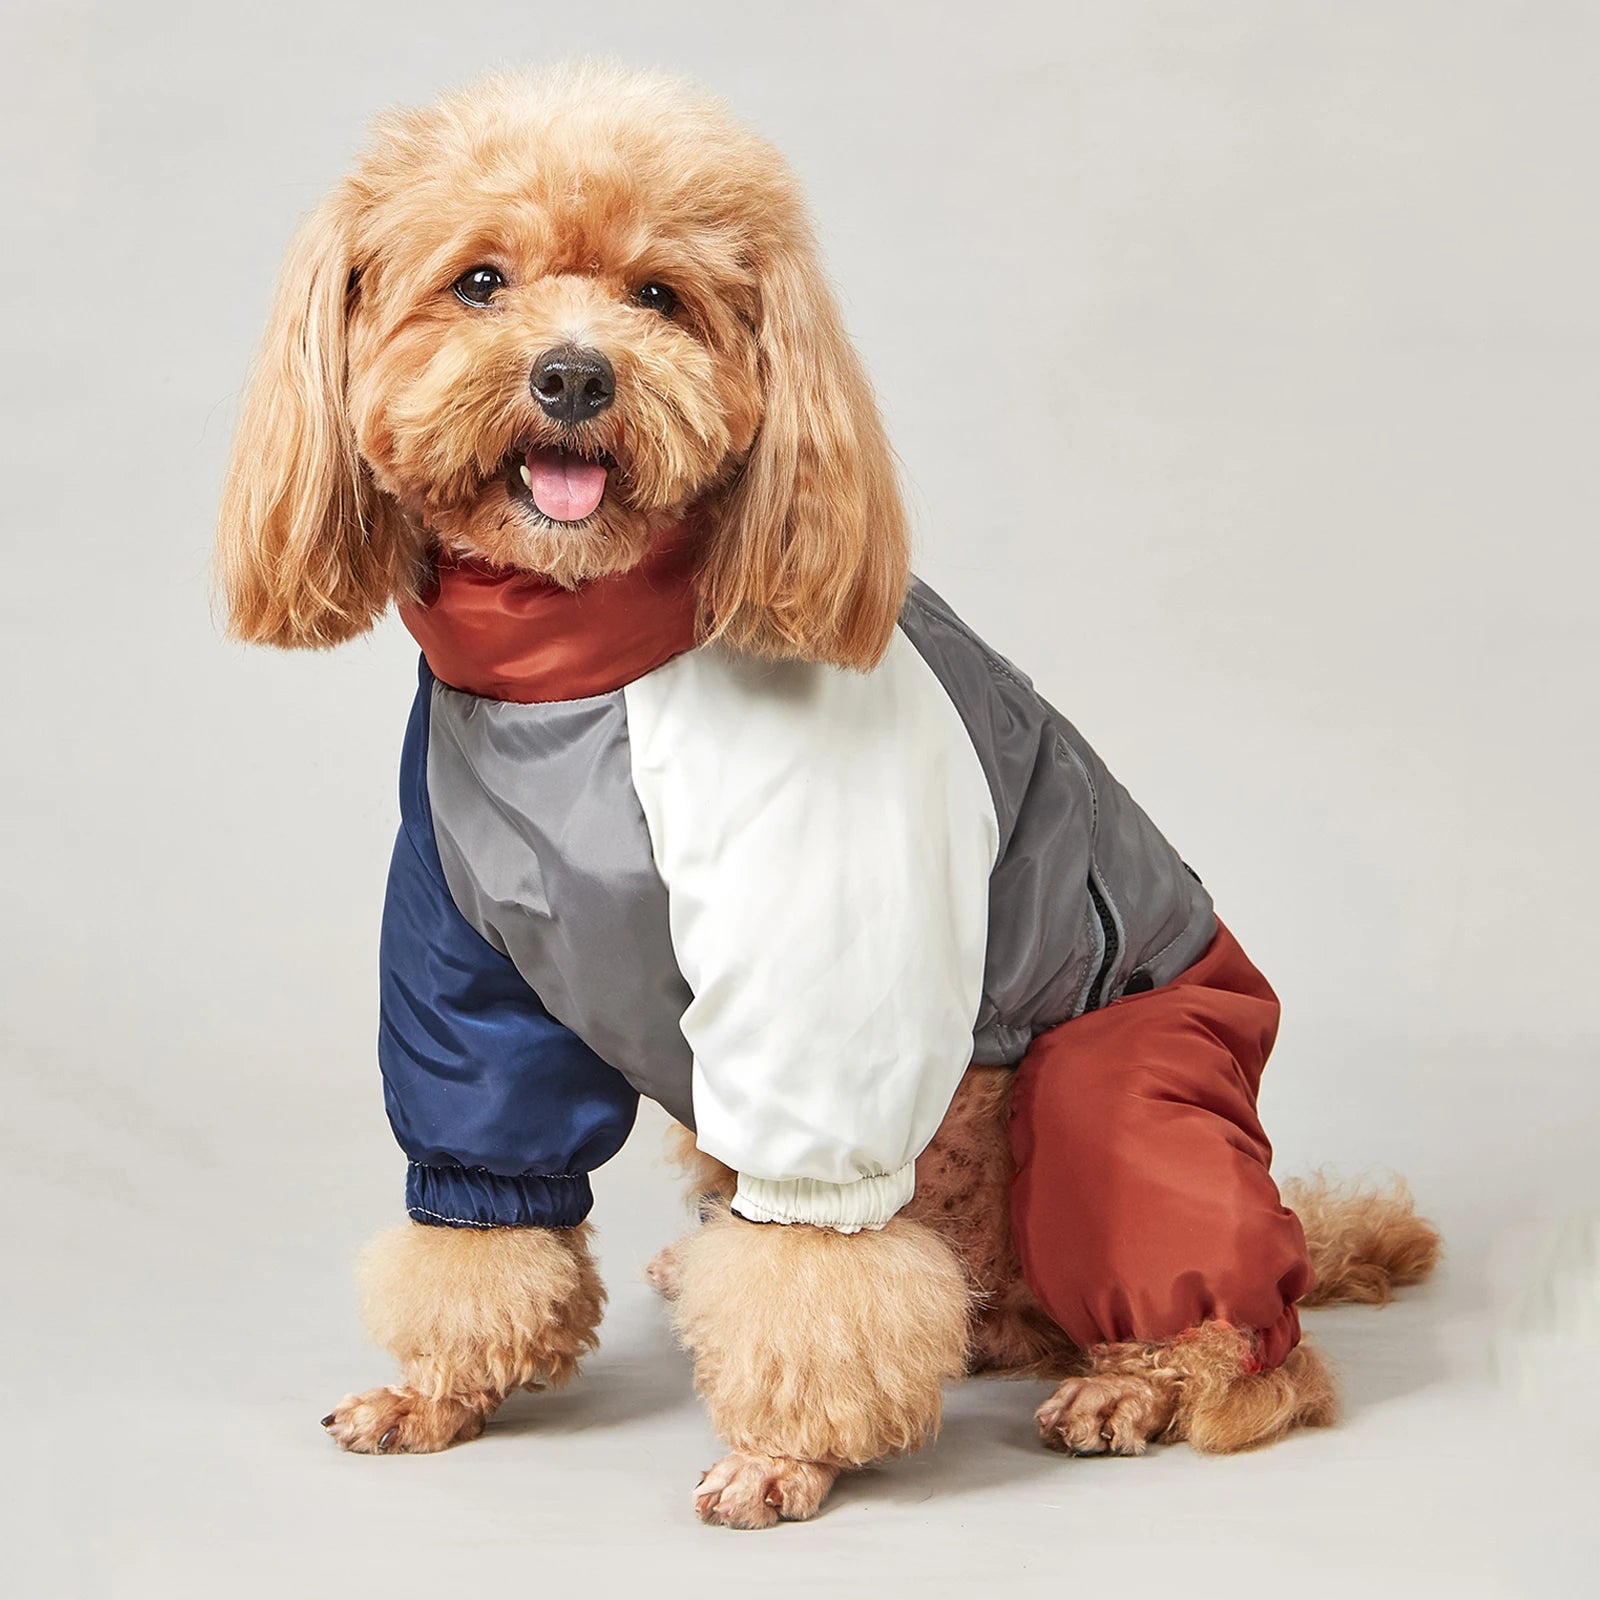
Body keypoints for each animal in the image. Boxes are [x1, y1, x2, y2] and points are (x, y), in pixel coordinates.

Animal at [212, 65, 1440, 1536]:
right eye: (479, 282)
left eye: (658, 296)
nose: (573, 376)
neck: (584, 666)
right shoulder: (463, 970)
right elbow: (486, 1196)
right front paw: (442, 1390)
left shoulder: (820, 976)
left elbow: (813, 1265)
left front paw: (783, 1453)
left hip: (1118, 1083)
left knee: (1255, 1350)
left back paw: (1136, 1384)